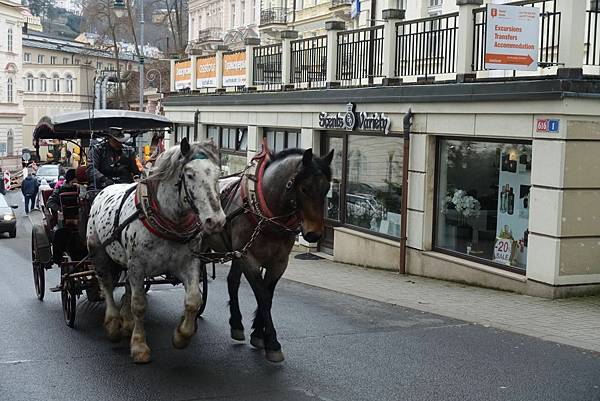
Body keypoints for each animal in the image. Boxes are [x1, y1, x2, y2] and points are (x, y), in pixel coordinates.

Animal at [89, 138, 227, 362]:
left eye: (218, 174)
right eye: (190, 174)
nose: (216, 221)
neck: (169, 219)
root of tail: (104, 189)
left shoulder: (188, 263)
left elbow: (194, 300)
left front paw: (181, 336)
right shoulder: (137, 265)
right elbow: (139, 305)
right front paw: (139, 346)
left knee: (127, 286)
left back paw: (126, 321)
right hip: (99, 252)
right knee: (107, 284)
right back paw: (113, 323)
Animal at [207, 145, 332, 362]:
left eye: (326, 189)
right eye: (304, 188)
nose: (314, 234)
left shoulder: (279, 263)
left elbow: (268, 294)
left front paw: (258, 334)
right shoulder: (249, 259)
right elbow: (262, 296)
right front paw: (272, 342)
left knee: (232, 281)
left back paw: (236, 324)